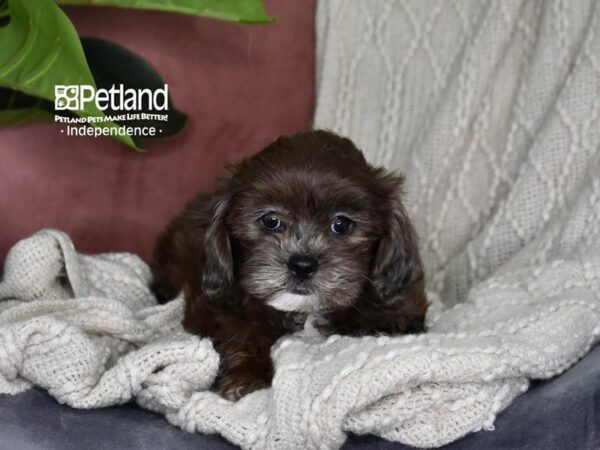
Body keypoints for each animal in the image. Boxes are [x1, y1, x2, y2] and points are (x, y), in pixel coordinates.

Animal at [152, 128, 428, 400]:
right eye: (271, 221)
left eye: (341, 224)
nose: (302, 265)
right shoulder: (213, 300)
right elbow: (238, 331)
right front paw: (246, 377)